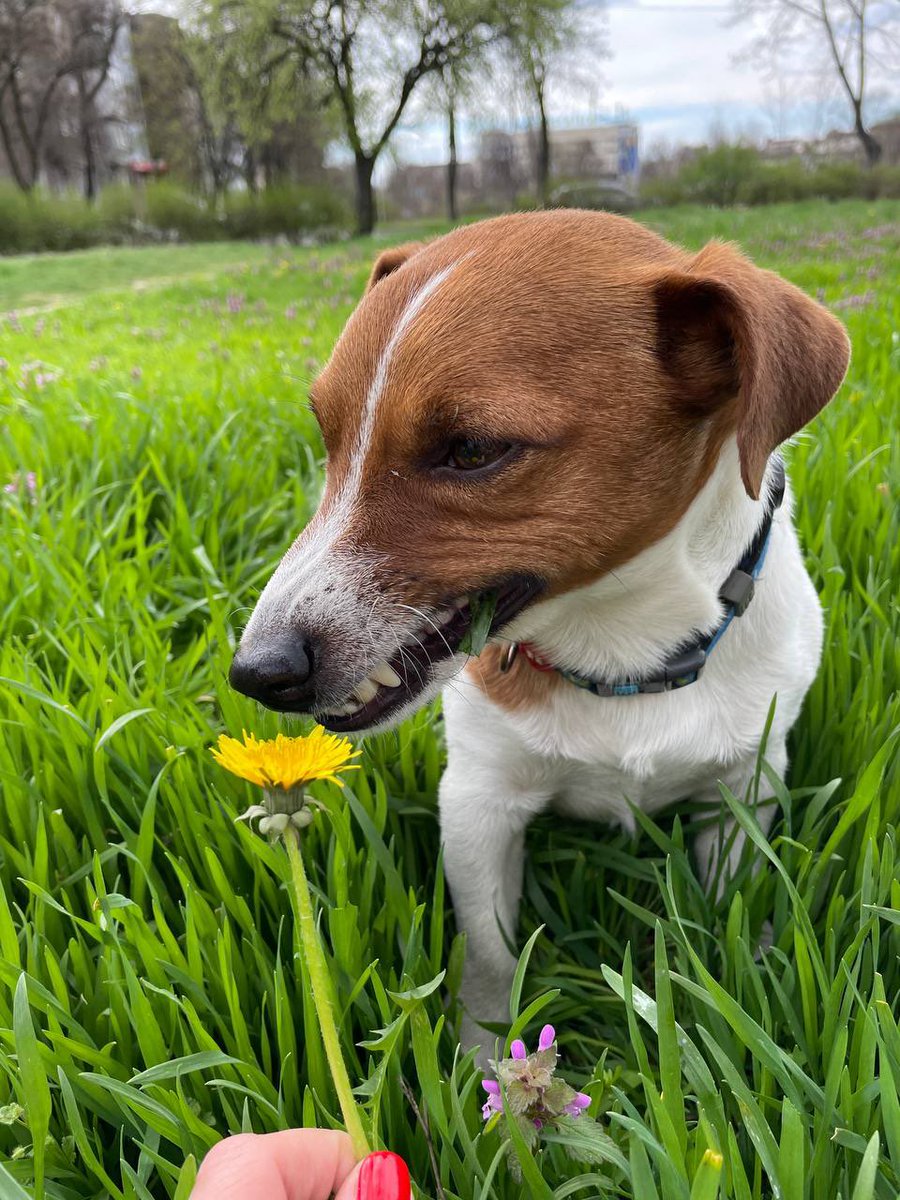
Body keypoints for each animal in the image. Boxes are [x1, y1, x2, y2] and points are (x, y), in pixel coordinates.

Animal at [229, 211, 849, 1046]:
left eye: (471, 449)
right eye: (326, 434)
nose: (256, 672)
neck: (621, 655)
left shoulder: (742, 791)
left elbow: (726, 913)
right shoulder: (478, 801)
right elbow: (490, 955)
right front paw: (485, 1066)